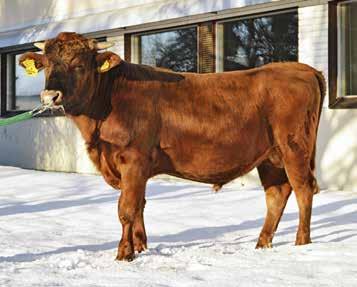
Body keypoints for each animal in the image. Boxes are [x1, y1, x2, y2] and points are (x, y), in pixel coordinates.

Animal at [20, 32, 326, 262]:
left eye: (79, 65)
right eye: (47, 64)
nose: (50, 96)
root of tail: (302, 68)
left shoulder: (133, 160)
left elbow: (126, 208)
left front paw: (124, 254)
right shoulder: (135, 168)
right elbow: (139, 205)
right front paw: (141, 247)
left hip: (294, 148)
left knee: (303, 190)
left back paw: (301, 243)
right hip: (270, 157)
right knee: (277, 194)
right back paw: (262, 244)